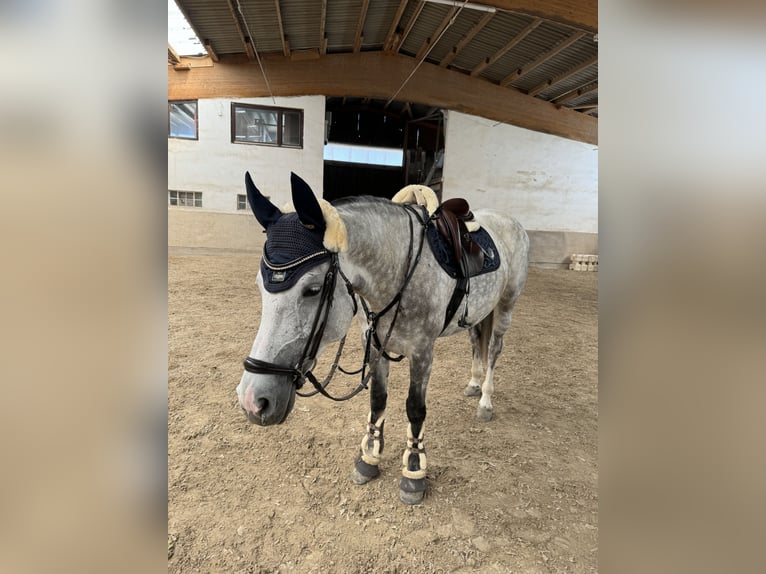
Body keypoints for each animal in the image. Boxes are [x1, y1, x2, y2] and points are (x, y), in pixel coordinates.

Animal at [237, 171, 532, 504]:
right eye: (259, 285)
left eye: (312, 290)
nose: (252, 401)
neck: (399, 268)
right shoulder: (375, 343)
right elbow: (377, 400)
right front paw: (369, 458)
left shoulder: (422, 351)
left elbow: (415, 409)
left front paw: (414, 471)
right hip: (477, 313)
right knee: (475, 343)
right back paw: (473, 384)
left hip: (506, 305)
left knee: (493, 348)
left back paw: (485, 401)